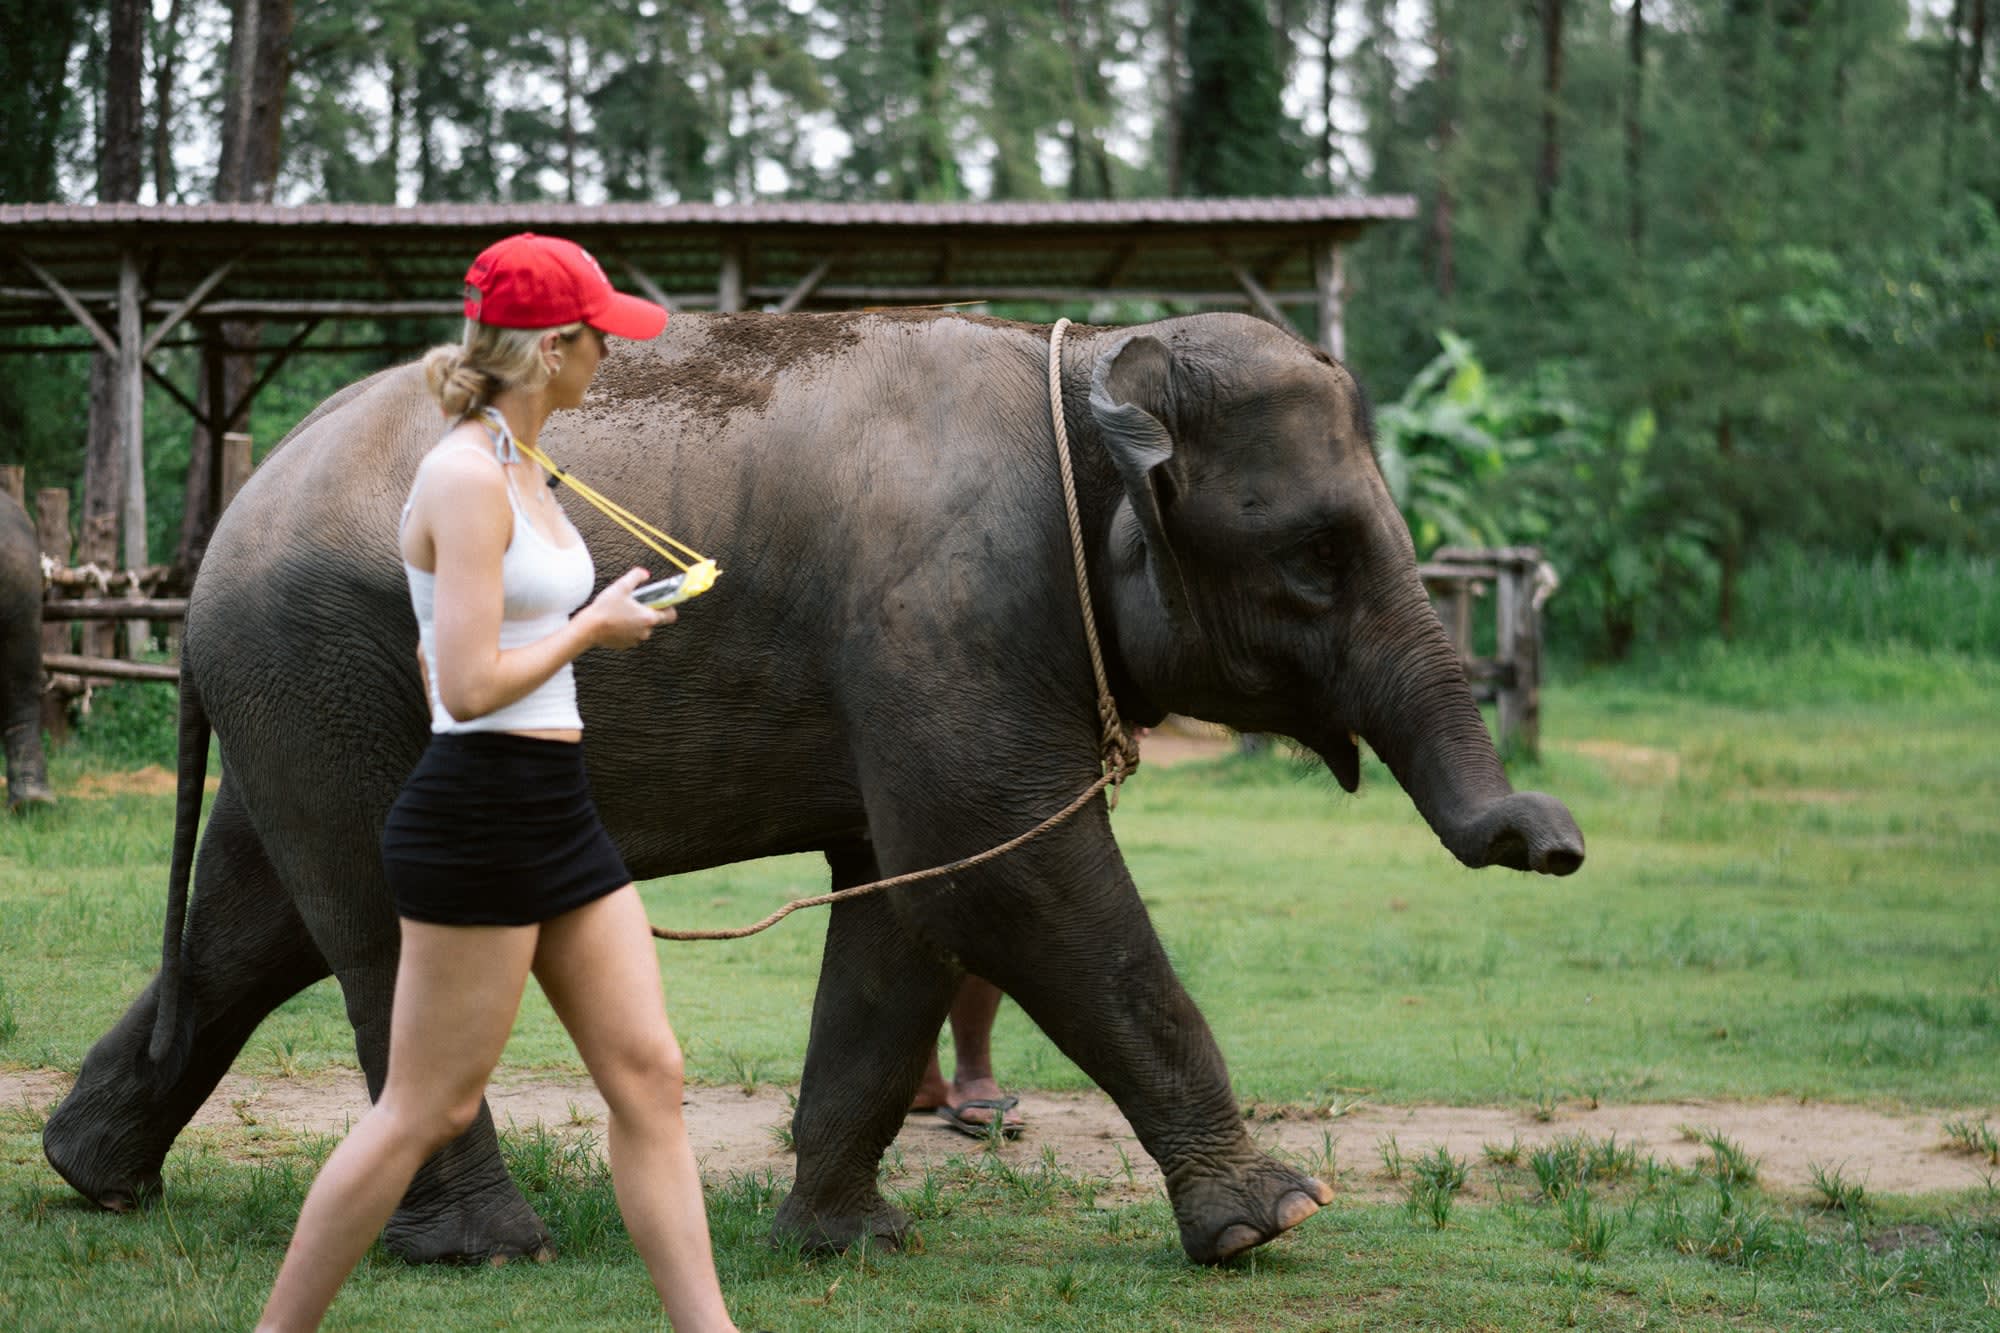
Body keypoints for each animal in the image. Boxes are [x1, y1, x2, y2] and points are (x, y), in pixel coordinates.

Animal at [44, 310, 1583, 1266]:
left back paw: (90, 1175)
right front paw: (1276, 1222)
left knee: (252, 926)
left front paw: (848, 1246)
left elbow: (907, 904)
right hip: (331, 671)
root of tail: (208, 555)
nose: (1553, 842)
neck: (1084, 366)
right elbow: (1002, 873)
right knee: (377, 932)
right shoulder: (948, 616)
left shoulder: (918, 661)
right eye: (1317, 556)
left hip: (305, 695)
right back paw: (487, 1250)